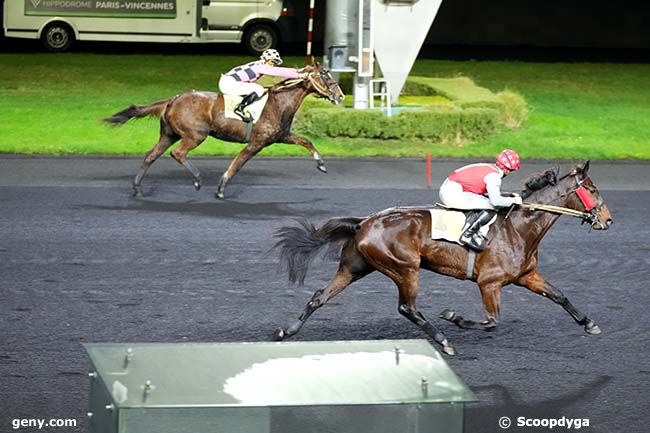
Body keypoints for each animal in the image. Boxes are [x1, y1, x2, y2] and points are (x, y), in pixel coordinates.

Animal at [104, 61, 342, 198]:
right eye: (326, 76)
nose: (340, 96)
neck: (278, 103)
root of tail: (172, 100)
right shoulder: (256, 142)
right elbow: (237, 164)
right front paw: (220, 188)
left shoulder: (281, 136)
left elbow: (306, 141)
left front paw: (321, 164)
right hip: (195, 135)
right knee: (178, 153)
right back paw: (197, 179)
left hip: (168, 134)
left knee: (150, 156)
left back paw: (137, 188)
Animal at [270, 162, 612, 354]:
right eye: (593, 189)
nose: (608, 220)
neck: (518, 227)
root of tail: (364, 222)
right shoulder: (489, 283)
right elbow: (491, 321)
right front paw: (454, 317)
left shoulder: (526, 276)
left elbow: (559, 296)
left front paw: (589, 323)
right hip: (405, 268)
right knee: (407, 307)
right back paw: (444, 340)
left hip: (356, 267)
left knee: (319, 296)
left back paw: (286, 331)